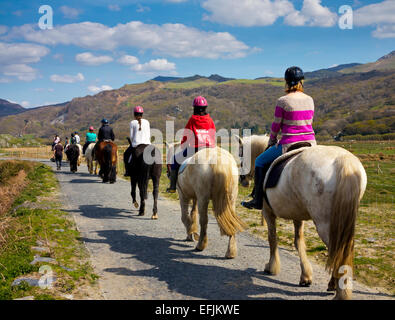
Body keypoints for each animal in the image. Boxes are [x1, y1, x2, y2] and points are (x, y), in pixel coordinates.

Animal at [235, 135, 368, 300]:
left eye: (241, 155)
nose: (242, 180)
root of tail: (343, 159)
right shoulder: (297, 215)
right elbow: (299, 242)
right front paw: (305, 276)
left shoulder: (268, 212)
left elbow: (272, 239)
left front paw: (271, 267)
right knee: (339, 250)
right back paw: (334, 284)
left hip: (325, 224)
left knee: (337, 251)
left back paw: (341, 292)